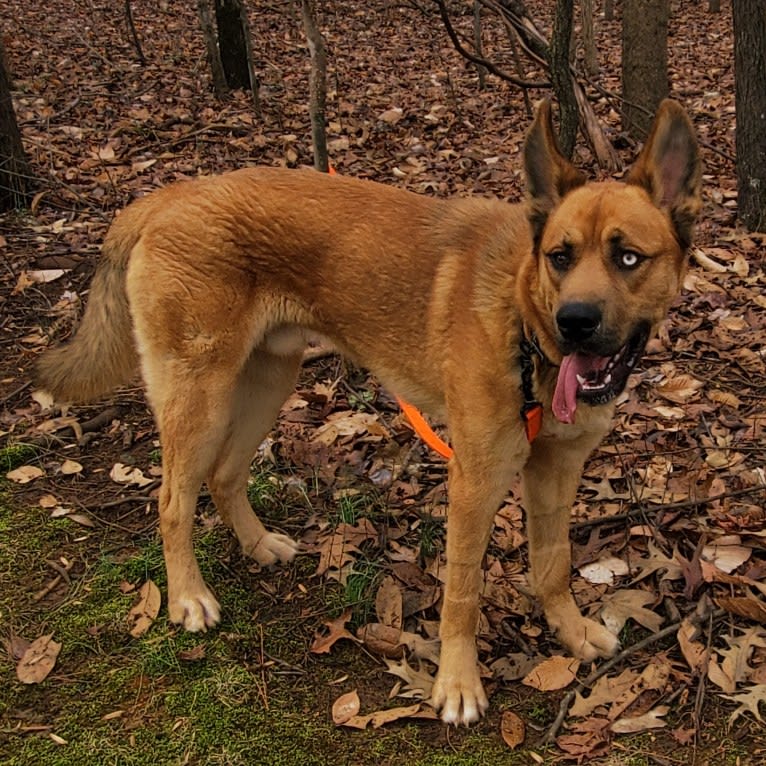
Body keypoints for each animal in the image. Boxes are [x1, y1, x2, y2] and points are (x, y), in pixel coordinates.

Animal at [37, 100, 704, 728]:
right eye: (560, 257)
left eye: (628, 258)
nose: (576, 323)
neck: (524, 326)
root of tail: (166, 197)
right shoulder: (476, 481)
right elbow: (462, 592)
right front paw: (457, 683)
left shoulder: (556, 471)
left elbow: (554, 563)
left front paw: (568, 629)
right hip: (200, 398)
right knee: (173, 501)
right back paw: (187, 597)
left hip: (267, 382)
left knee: (225, 477)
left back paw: (258, 545)